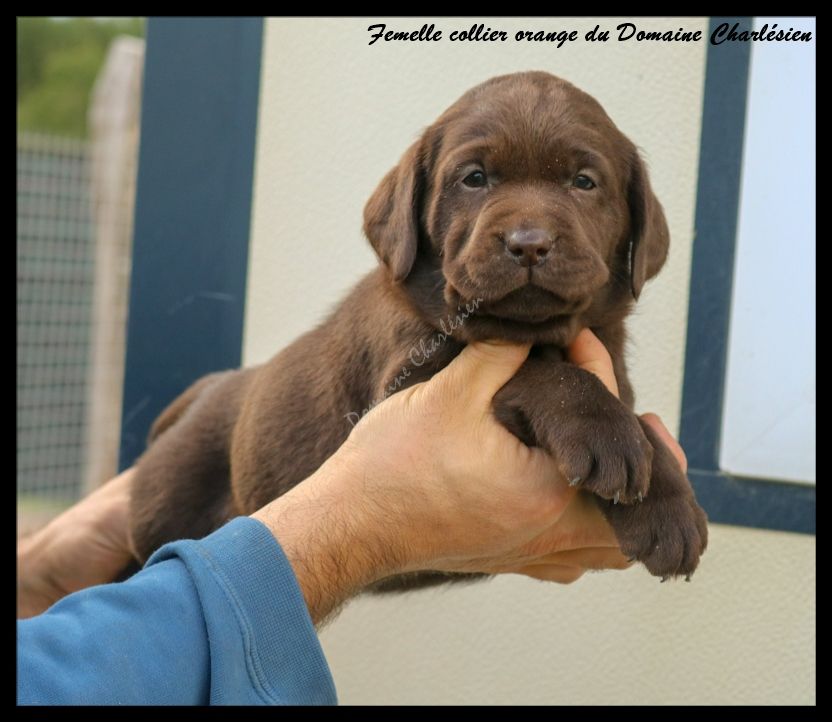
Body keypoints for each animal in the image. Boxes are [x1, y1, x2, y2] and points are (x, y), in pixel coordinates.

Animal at [129, 71, 707, 586]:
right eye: (474, 178)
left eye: (584, 182)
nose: (529, 244)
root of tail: (208, 389)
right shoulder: (405, 384)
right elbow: (540, 373)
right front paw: (605, 432)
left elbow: (639, 419)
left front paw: (669, 502)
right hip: (163, 508)